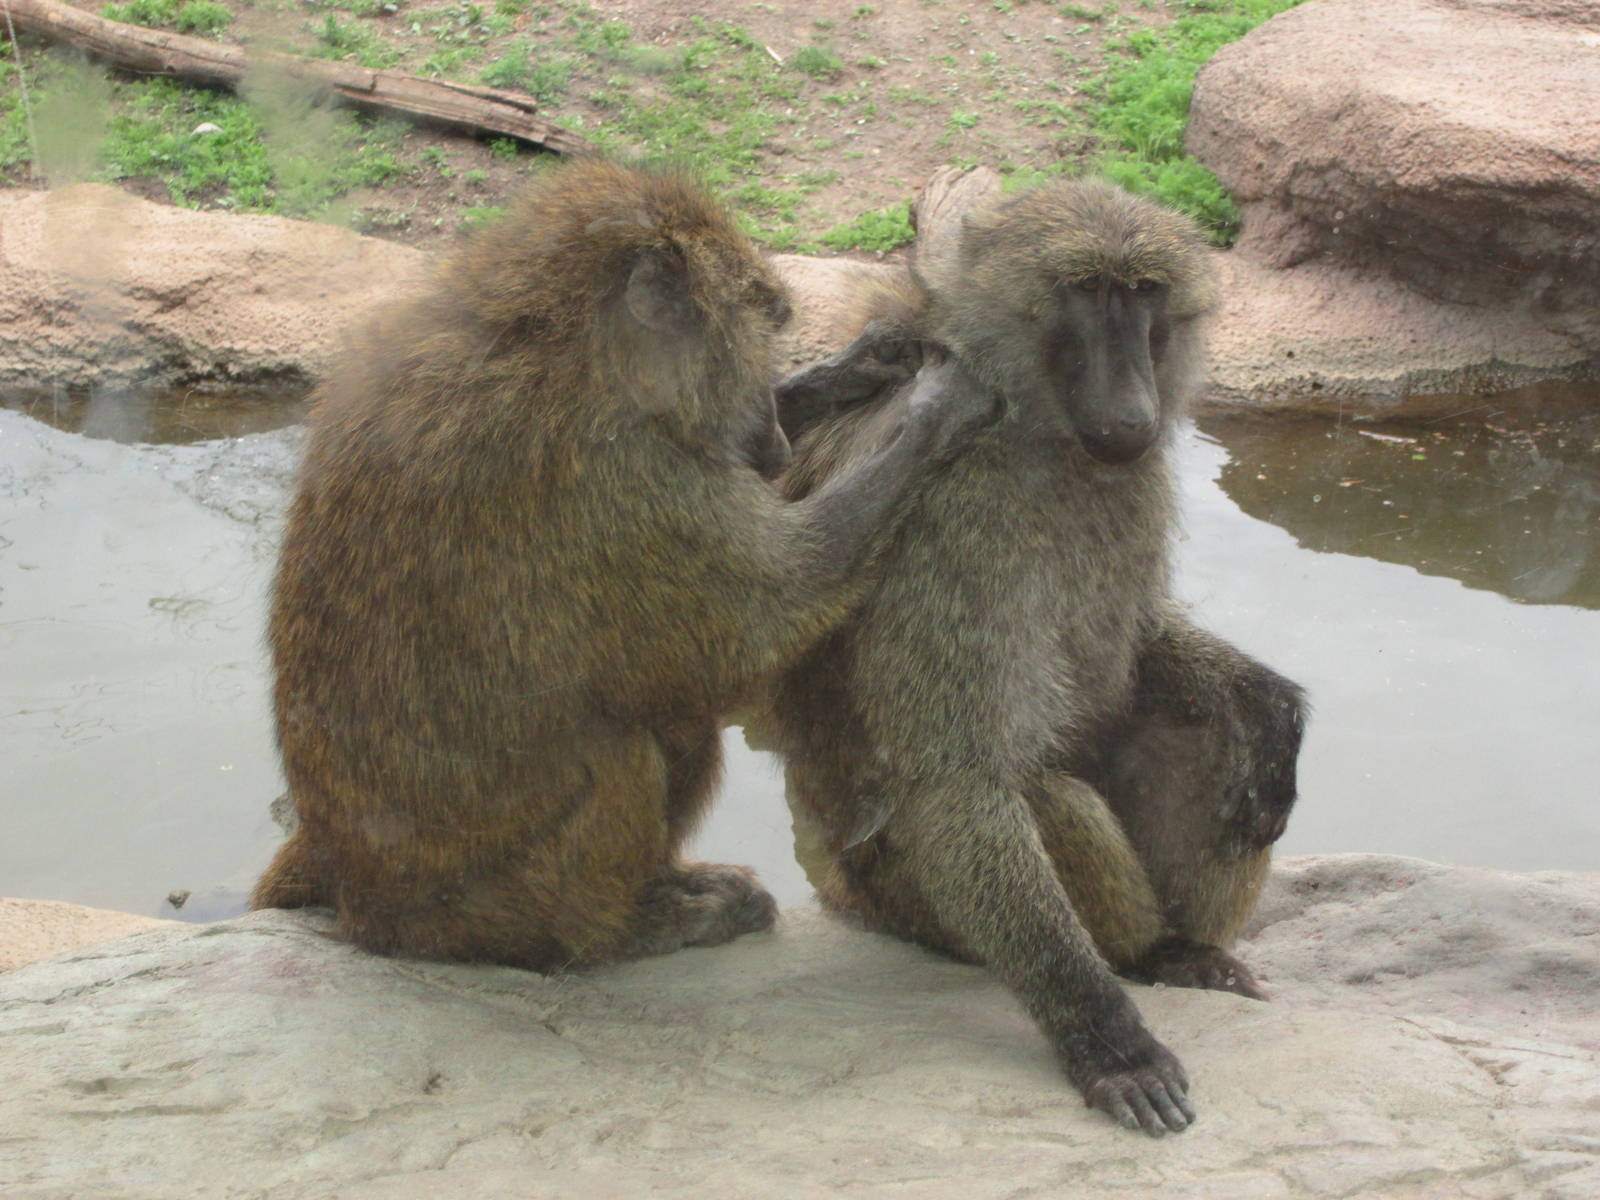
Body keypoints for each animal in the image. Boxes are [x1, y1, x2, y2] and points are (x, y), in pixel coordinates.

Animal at [249, 158, 987, 972]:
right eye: (760, 326)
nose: (771, 438)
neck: (564, 348)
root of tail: (346, 875)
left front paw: (860, 365)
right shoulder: (623, 478)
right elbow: (759, 626)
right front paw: (937, 406)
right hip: (469, 905)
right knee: (629, 744)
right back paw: (620, 929)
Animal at [767, 179, 1307, 1136]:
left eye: (1143, 293)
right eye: (1085, 290)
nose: (1130, 407)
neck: (1035, 428)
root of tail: (836, 886)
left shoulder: (1129, 486)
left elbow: (1143, 645)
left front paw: (1272, 704)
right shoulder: (952, 515)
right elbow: (957, 783)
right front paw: (1112, 1046)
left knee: (1211, 744)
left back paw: (1189, 948)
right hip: (902, 902)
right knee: (1046, 797)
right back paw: (1144, 953)